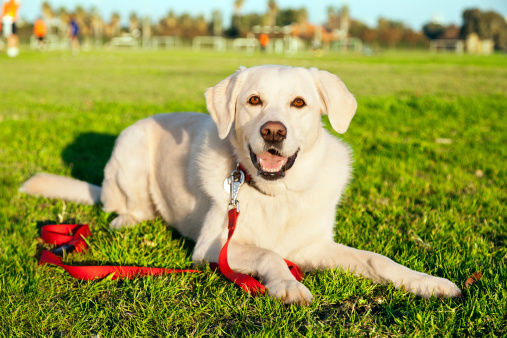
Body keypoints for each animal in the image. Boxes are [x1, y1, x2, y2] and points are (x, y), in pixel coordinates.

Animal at [21, 65, 462, 304]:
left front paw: (426, 283)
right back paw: (127, 219)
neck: (277, 194)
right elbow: (268, 253)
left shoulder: (315, 246)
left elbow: (378, 260)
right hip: (129, 150)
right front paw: (287, 284)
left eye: (299, 103)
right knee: (122, 205)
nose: (273, 131)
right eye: (253, 100)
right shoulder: (214, 247)